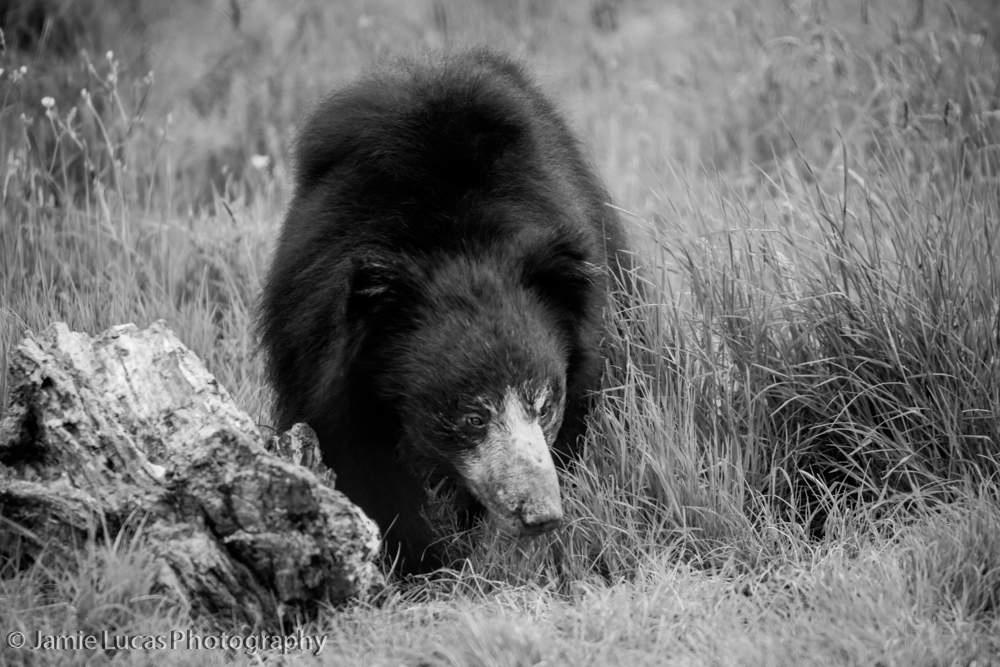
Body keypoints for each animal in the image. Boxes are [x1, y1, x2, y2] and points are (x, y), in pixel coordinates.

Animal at [258, 48, 631, 575]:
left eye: (545, 404)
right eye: (472, 418)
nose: (541, 516)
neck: (457, 242)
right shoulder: (321, 348)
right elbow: (358, 463)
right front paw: (423, 562)